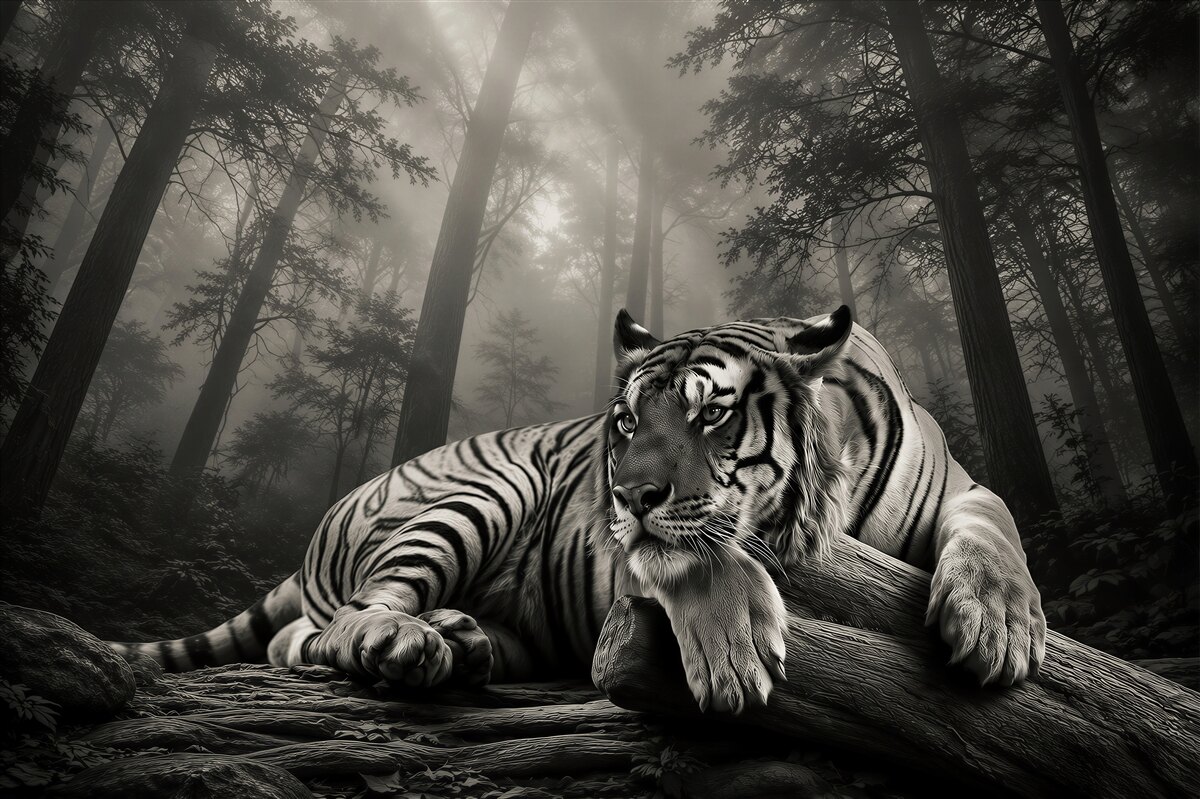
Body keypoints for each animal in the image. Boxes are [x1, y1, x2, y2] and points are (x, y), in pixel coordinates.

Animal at [111, 305, 1046, 713]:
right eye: (627, 420)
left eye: (712, 412)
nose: (626, 494)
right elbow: (697, 557)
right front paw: (735, 647)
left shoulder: (963, 486)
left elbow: (998, 525)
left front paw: (997, 623)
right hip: (481, 492)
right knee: (336, 620)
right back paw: (405, 641)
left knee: (295, 636)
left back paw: (463, 641)